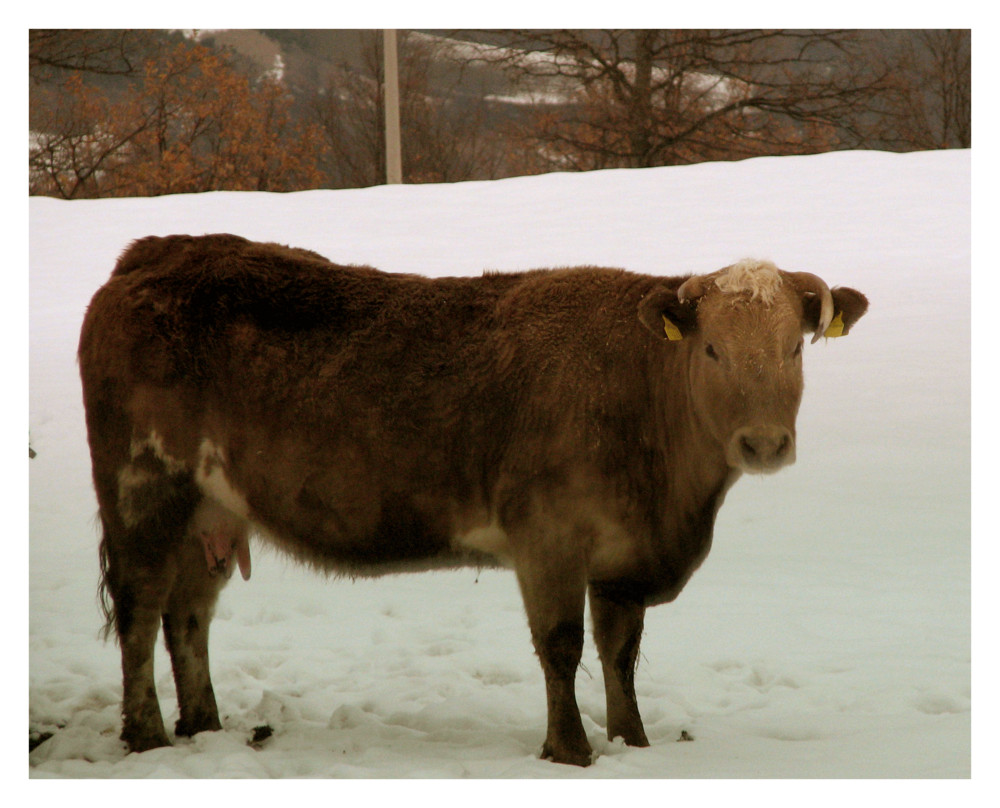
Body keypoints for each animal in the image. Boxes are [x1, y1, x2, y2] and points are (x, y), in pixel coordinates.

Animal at [78, 234, 868, 764]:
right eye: (711, 351)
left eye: (795, 348)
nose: (763, 443)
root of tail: (155, 254)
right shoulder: (548, 538)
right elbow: (561, 646)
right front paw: (570, 750)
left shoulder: (621, 559)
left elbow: (620, 653)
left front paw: (633, 742)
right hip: (143, 490)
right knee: (141, 611)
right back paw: (147, 735)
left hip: (209, 510)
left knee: (188, 615)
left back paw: (203, 726)